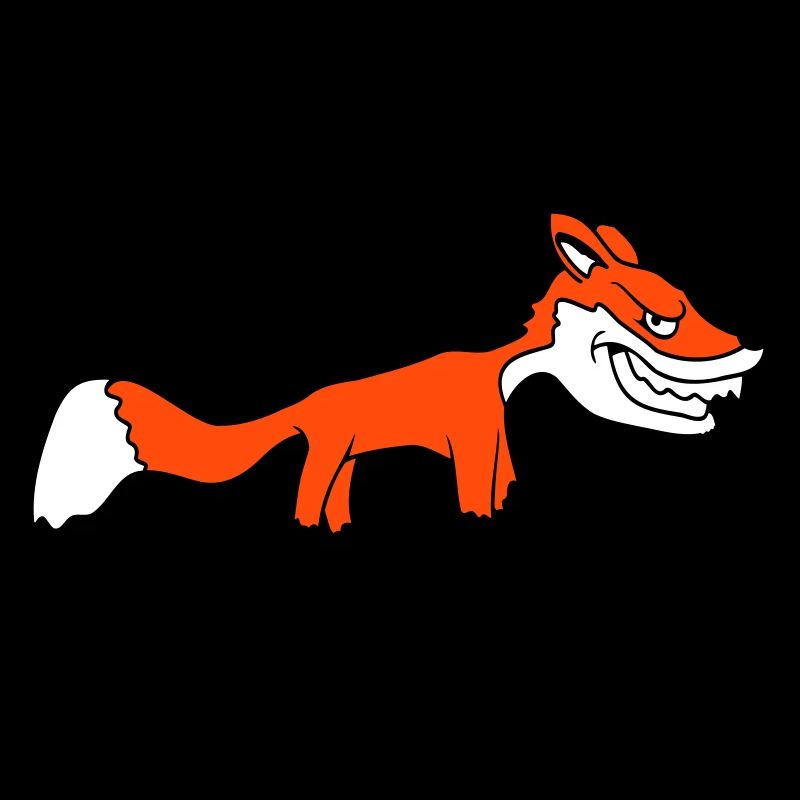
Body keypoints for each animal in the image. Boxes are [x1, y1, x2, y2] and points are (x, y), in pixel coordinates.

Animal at [34, 214, 763, 531]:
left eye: (689, 301)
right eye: (661, 320)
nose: (745, 350)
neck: (506, 372)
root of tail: (307, 401)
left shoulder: (495, 442)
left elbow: (503, 487)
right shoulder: (470, 444)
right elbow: (474, 500)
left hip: (349, 463)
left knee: (331, 506)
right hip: (328, 453)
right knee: (304, 503)